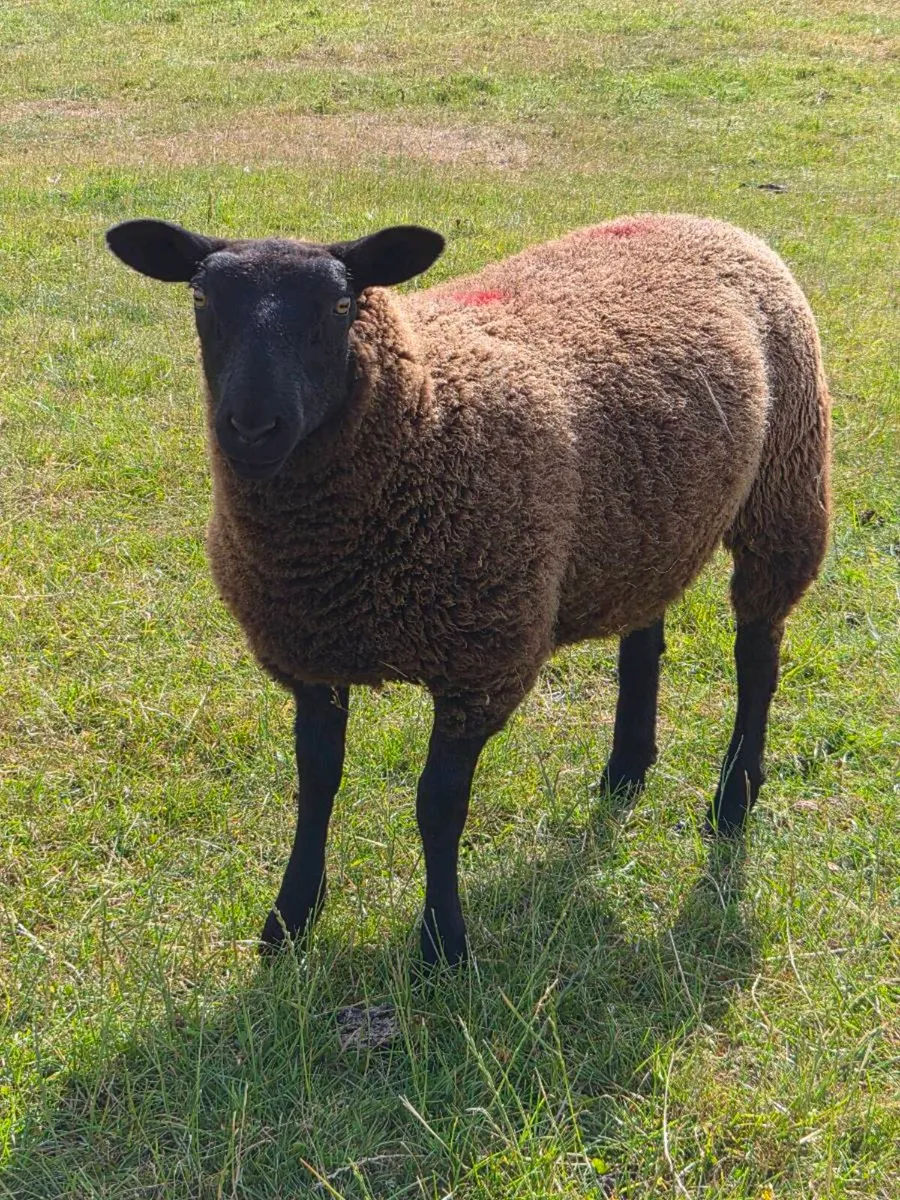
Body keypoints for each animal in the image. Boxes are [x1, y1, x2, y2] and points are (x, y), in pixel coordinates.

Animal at [106, 213, 831, 966]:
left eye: (340, 306)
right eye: (201, 301)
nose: (252, 429)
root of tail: (705, 220)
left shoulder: (481, 660)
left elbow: (439, 805)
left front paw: (442, 944)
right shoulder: (311, 653)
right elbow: (316, 781)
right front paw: (289, 920)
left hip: (786, 481)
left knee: (758, 651)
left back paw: (734, 797)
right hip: (648, 524)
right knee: (644, 634)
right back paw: (627, 768)